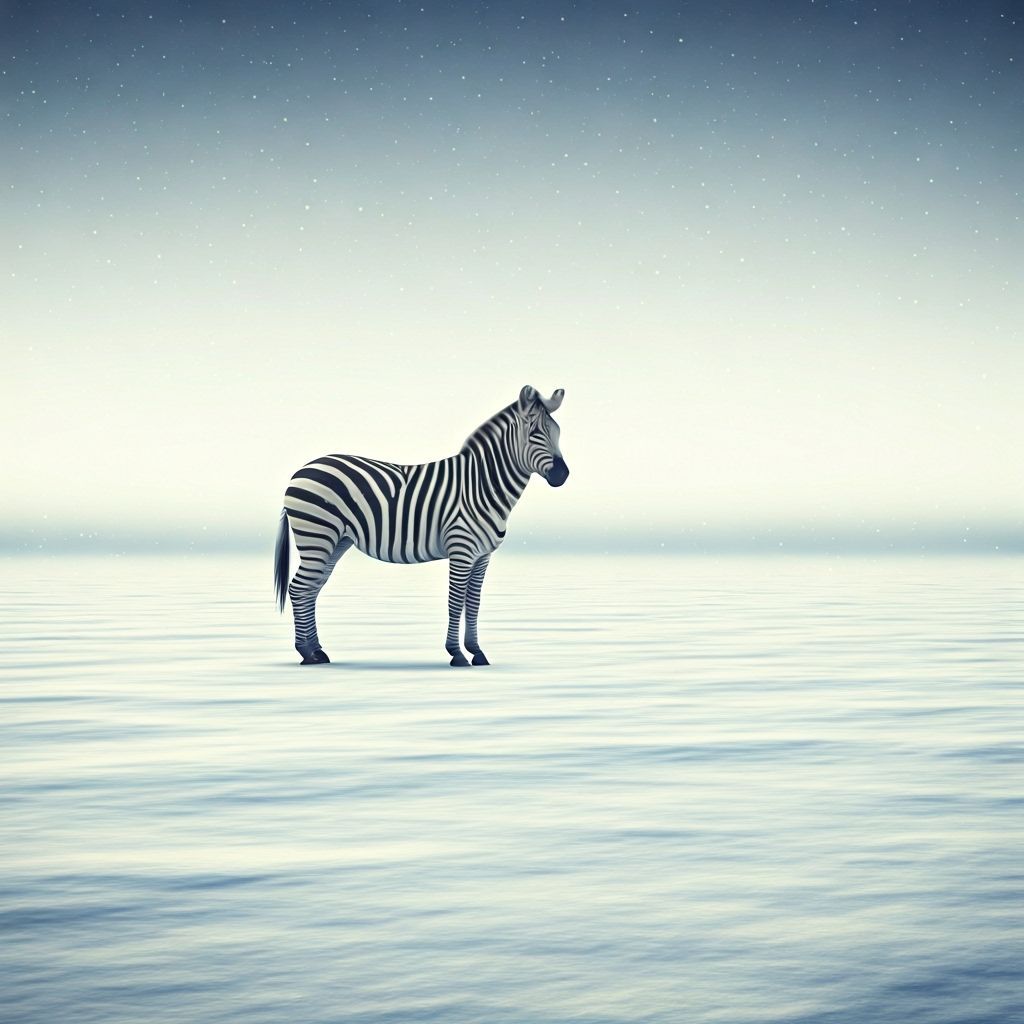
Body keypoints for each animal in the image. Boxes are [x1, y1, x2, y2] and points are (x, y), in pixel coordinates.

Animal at [274, 385, 569, 666]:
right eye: (534, 433)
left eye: (558, 432)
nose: (562, 475)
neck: (480, 485)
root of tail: (300, 471)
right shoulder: (461, 551)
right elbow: (455, 601)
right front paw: (457, 654)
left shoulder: (482, 556)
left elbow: (473, 603)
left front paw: (477, 652)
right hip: (316, 536)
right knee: (298, 588)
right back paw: (306, 653)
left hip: (336, 541)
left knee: (311, 589)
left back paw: (316, 651)